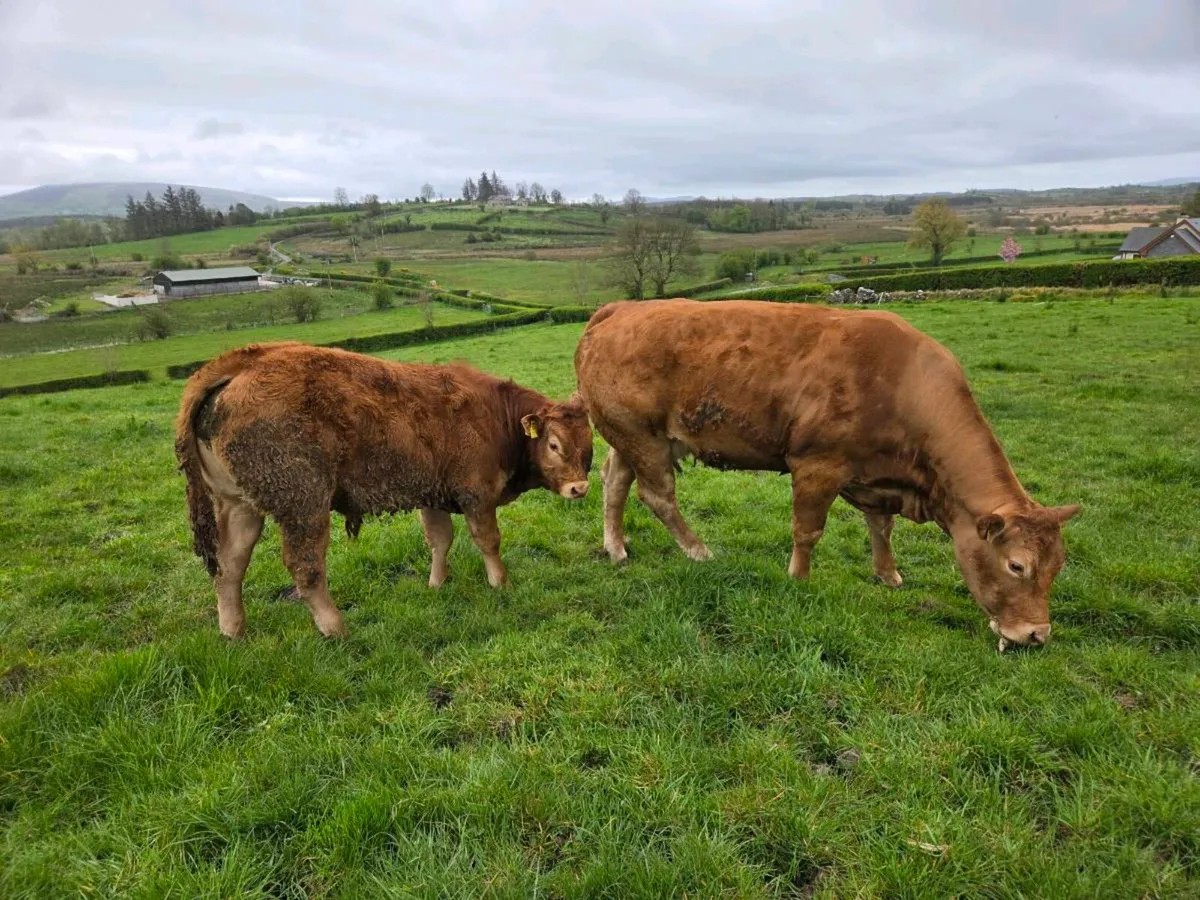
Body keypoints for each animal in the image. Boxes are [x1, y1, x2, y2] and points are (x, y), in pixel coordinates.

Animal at [175, 341, 593, 639]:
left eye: (590, 445)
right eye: (553, 444)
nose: (579, 488)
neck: (493, 413)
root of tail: (246, 360)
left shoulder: (433, 494)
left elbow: (440, 540)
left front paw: (437, 584)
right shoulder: (477, 493)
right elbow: (487, 541)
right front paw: (500, 583)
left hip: (238, 505)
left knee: (229, 565)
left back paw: (233, 631)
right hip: (303, 503)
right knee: (305, 567)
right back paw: (335, 628)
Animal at [574, 299, 1081, 651]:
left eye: (1058, 566)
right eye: (1017, 565)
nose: (1037, 634)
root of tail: (620, 308)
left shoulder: (875, 478)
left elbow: (881, 528)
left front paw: (888, 574)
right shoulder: (817, 466)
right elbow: (808, 530)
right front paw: (798, 578)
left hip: (632, 438)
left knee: (614, 482)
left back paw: (616, 548)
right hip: (642, 438)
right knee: (658, 497)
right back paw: (698, 550)